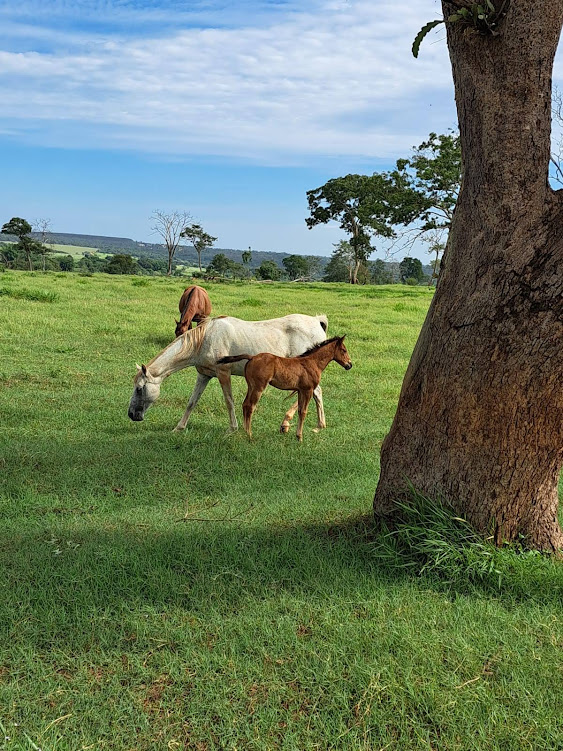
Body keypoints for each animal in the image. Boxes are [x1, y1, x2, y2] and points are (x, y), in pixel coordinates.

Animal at [128, 312, 328, 432]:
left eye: (139, 388)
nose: (131, 414)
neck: (205, 338)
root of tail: (317, 322)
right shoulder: (204, 375)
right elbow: (192, 402)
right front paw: (179, 428)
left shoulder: (223, 374)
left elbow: (229, 401)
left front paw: (233, 428)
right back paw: (290, 423)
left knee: (315, 392)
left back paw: (317, 425)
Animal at [217, 336, 352, 440]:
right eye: (344, 350)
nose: (349, 365)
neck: (312, 363)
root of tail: (252, 357)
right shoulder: (308, 390)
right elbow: (304, 412)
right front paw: (300, 437)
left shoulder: (300, 390)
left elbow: (299, 411)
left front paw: (296, 434)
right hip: (259, 387)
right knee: (250, 406)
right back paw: (250, 435)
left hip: (251, 386)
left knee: (245, 404)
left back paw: (245, 432)